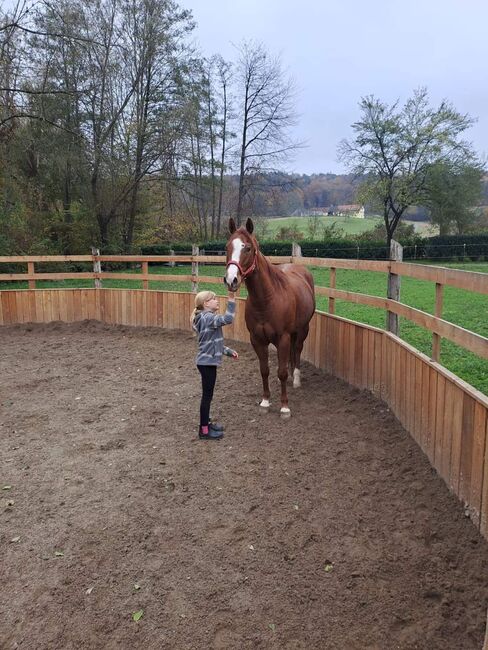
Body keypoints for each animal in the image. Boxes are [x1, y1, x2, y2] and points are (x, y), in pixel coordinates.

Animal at [226, 218, 316, 418]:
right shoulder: (257, 340)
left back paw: (296, 379)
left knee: (297, 349)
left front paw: (284, 407)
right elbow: (264, 370)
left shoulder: (283, 338)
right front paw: (265, 401)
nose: (231, 280)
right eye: (228, 246)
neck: (267, 300)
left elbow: (281, 372)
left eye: (248, 248)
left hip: (303, 329)